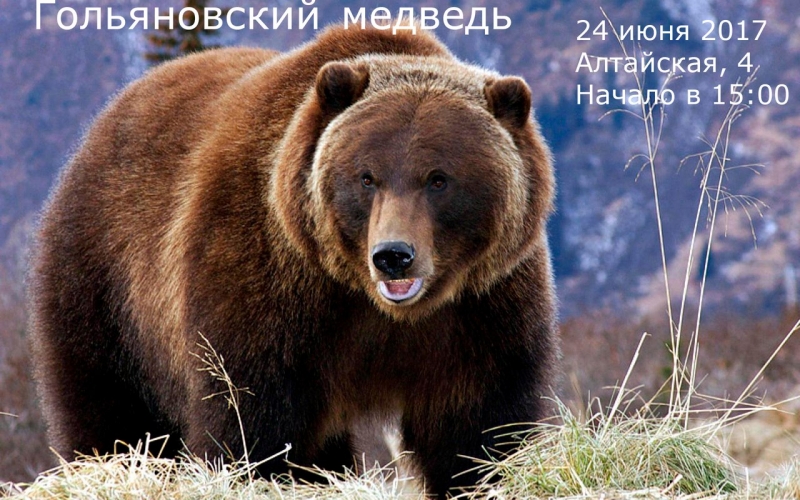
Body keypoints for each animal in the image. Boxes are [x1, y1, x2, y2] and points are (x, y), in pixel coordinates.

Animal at [28, 24, 558, 496]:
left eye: (439, 178)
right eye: (367, 177)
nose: (393, 257)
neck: (376, 307)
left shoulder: (480, 309)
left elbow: (479, 426)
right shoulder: (267, 286)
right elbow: (252, 420)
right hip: (105, 282)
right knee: (108, 408)